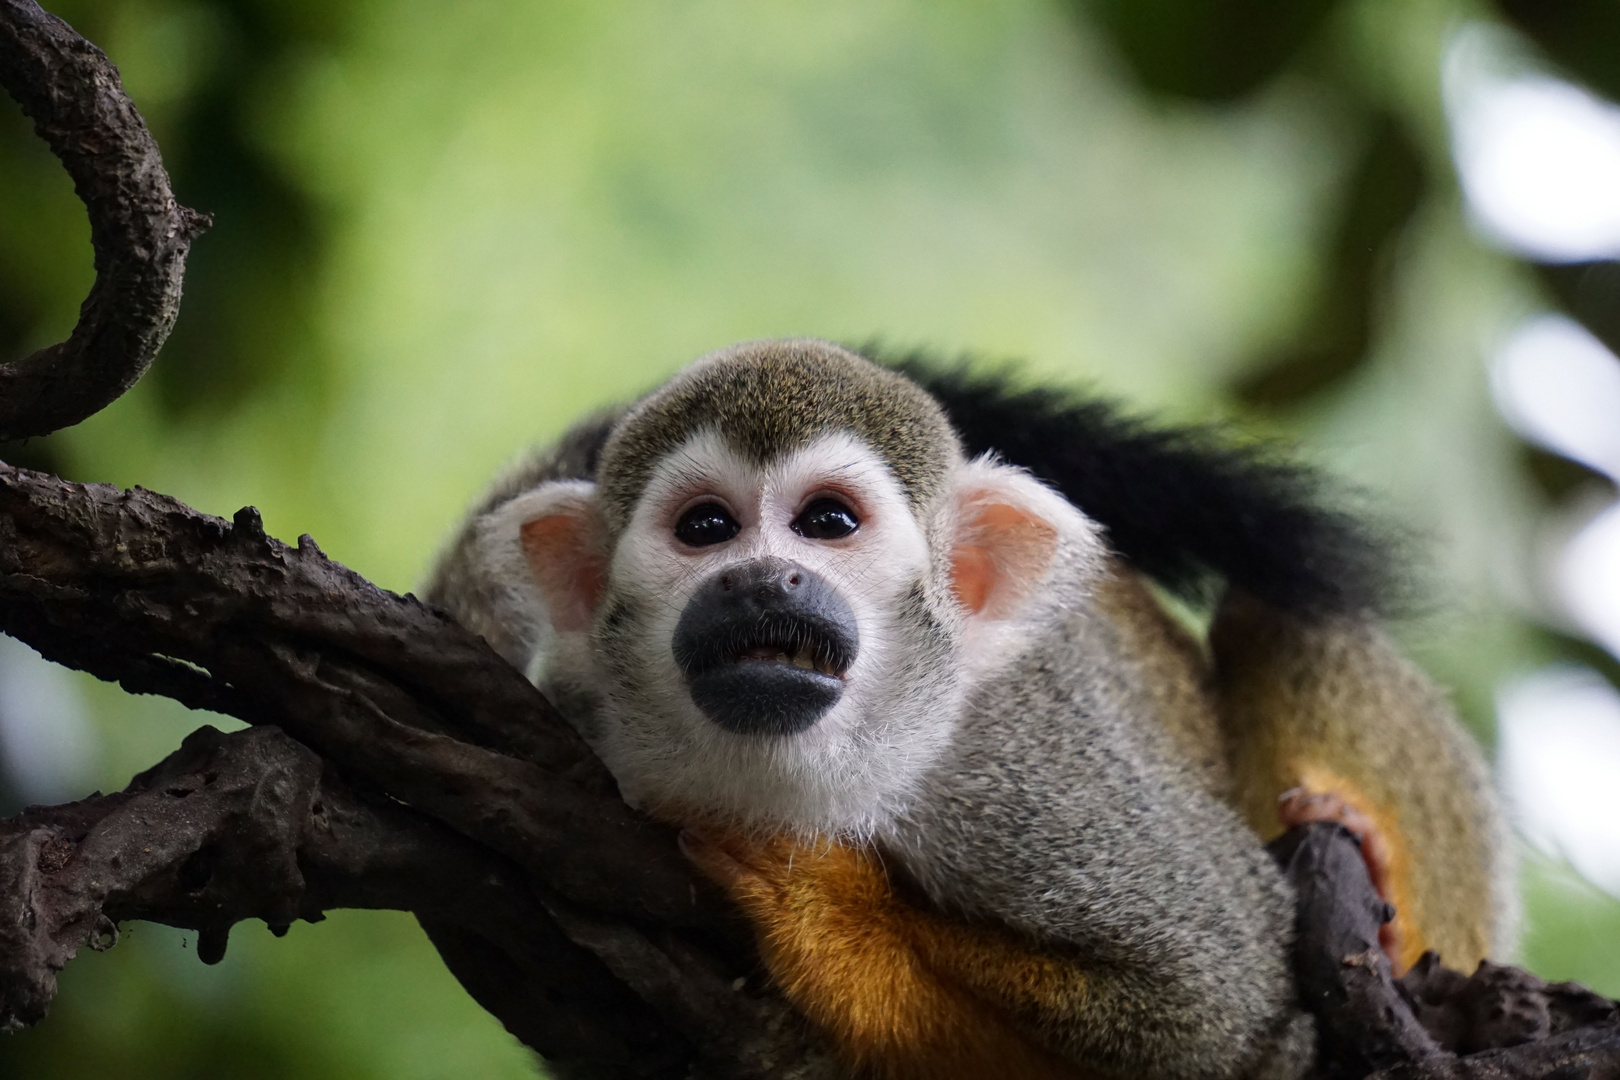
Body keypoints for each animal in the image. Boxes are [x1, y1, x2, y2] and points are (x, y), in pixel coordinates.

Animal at [427, 341, 1503, 1080]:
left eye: (827, 522)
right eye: (706, 529)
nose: (761, 579)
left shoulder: (1016, 782)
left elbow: (1222, 1005)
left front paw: (838, 922)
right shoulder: (583, 722)